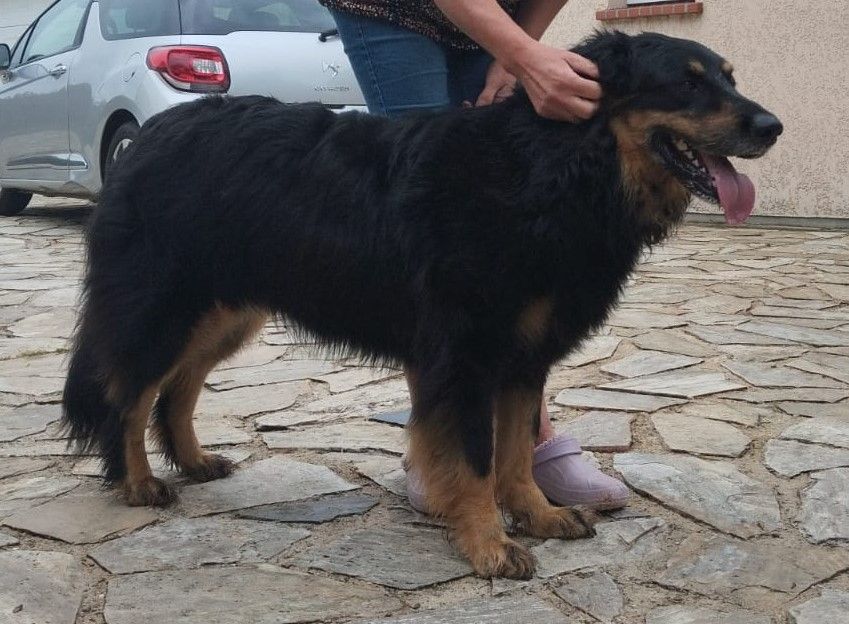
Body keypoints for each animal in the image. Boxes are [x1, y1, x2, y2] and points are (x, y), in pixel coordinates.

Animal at [63, 31, 781, 579]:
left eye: (729, 77)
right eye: (686, 84)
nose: (772, 126)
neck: (552, 167)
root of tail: (146, 135)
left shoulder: (522, 358)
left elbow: (515, 452)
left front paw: (537, 515)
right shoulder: (466, 355)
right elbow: (475, 457)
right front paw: (489, 544)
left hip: (224, 311)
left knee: (176, 390)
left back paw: (192, 461)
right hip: (163, 307)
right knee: (129, 395)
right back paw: (138, 484)